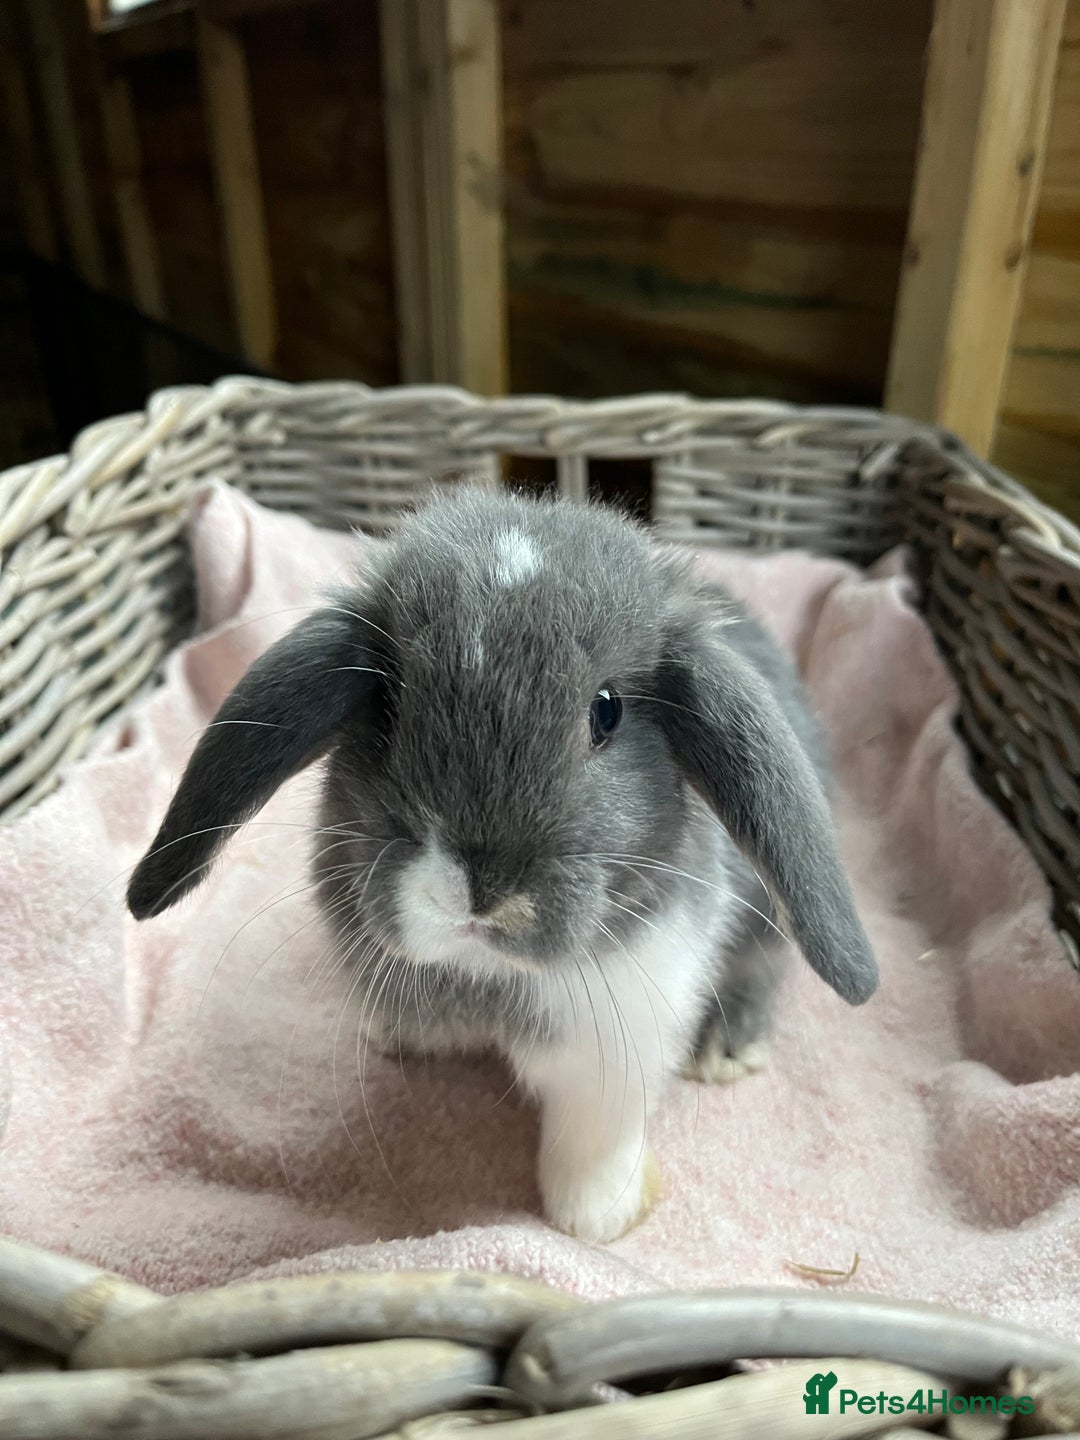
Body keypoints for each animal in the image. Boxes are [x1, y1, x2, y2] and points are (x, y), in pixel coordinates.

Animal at [128, 486, 877, 1243]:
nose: (477, 891)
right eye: (389, 703)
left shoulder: (624, 1033)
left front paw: (595, 1218)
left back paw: (724, 1052)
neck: (482, 973)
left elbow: (595, 1133)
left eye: (607, 712)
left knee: (762, 967)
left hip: (767, 919)